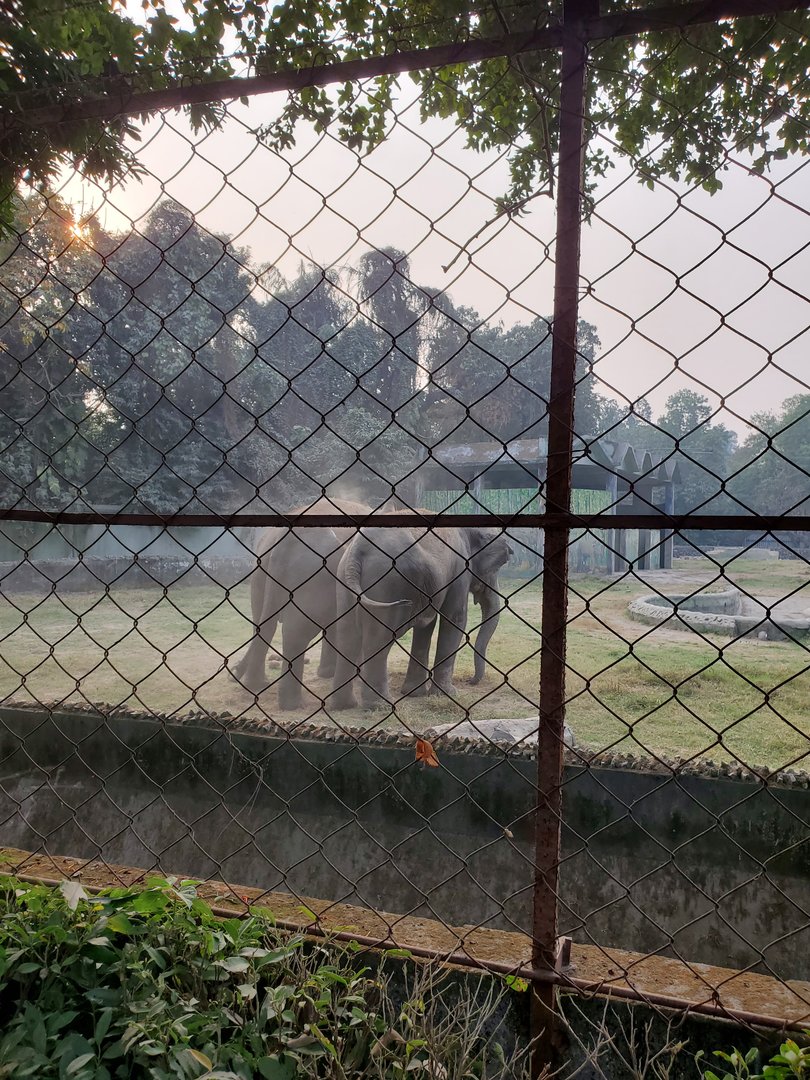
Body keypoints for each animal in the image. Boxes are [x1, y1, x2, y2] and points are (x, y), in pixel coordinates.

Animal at [328, 525, 513, 709]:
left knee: (347, 638)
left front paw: (414, 693)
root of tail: (358, 549)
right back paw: (380, 705)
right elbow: (455, 617)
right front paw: (448, 694)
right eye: (496, 567)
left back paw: (344, 704)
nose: (471, 681)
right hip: (389, 582)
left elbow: (426, 625)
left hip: (345, 581)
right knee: (378, 640)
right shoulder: (460, 570)